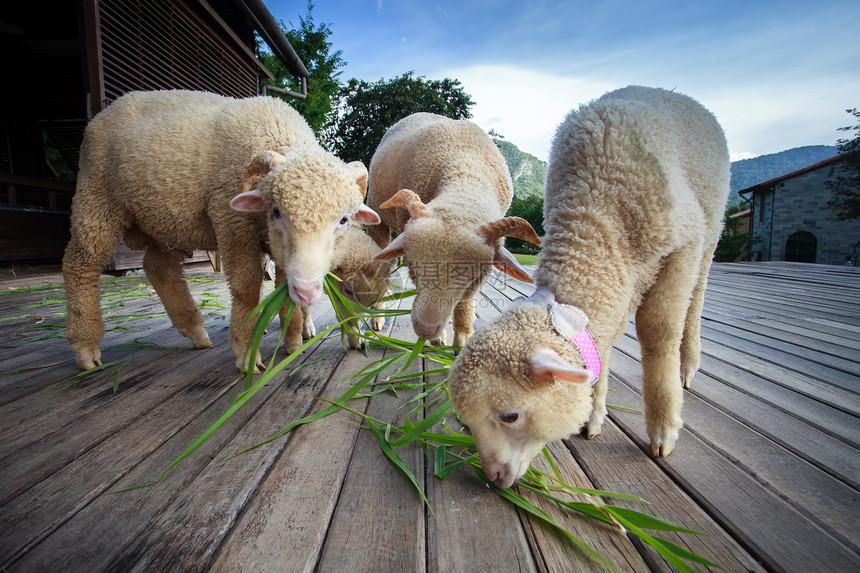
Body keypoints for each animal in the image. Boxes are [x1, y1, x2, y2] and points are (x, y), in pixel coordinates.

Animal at [366, 111, 540, 344]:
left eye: (471, 278)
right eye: (412, 267)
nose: (425, 330)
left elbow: (465, 309)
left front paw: (461, 340)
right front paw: (439, 339)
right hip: (376, 214)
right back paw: (377, 316)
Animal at [446, 86, 728, 488]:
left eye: (510, 415)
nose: (495, 478)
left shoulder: (682, 245)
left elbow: (659, 332)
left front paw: (663, 428)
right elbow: (602, 342)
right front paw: (594, 411)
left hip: (709, 232)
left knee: (696, 300)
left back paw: (687, 365)